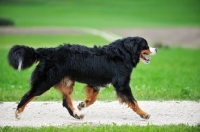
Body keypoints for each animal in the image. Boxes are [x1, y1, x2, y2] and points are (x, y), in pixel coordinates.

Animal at [7, 36, 157, 120]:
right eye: (145, 45)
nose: (156, 49)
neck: (122, 54)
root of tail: (47, 51)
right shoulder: (122, 84)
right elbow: (133, 102)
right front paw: (144, 114)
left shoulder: (95, 83)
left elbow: (92, 99)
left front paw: (82, 105)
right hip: (45, 82)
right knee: (28, 95)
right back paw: (18, 113)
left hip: (67, 82)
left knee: (66, 102)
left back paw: (77, 115)